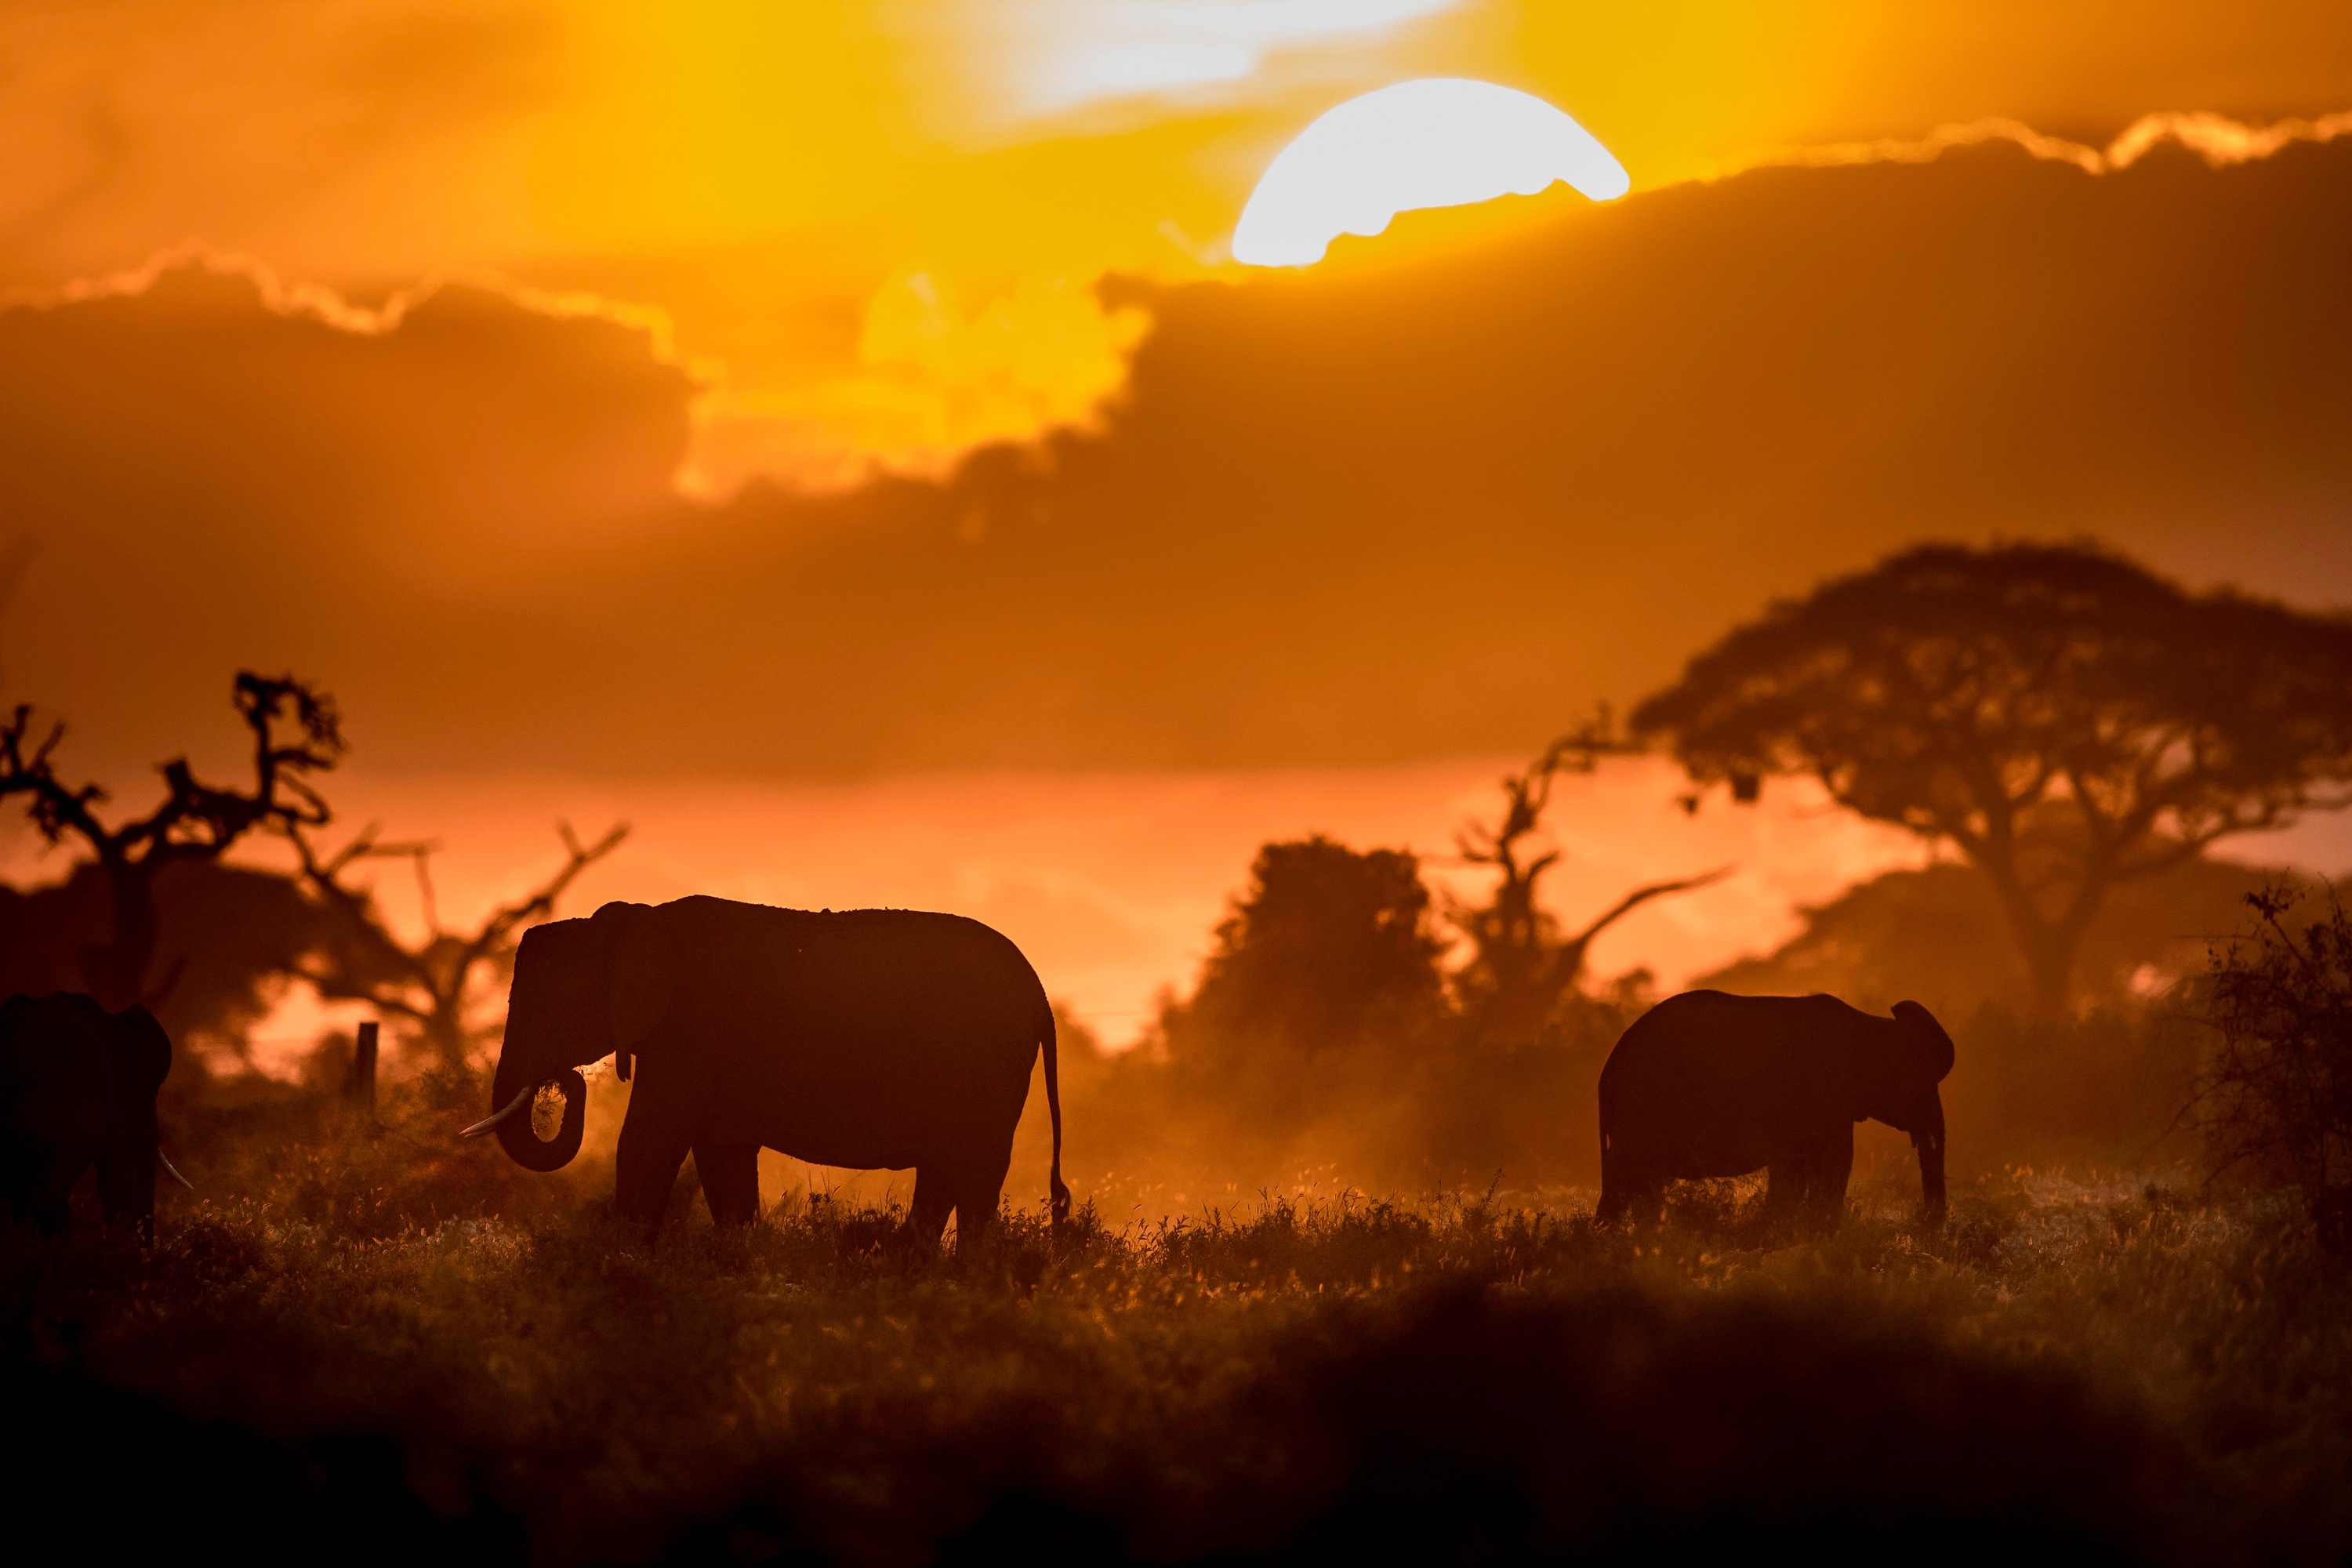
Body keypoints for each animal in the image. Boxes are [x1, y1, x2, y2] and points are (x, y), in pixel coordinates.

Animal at [468, 902, 1077, 1241]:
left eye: (545, 1007)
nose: (564, 1082)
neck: (626, 923)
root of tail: (1040, 993)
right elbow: (722, 1158)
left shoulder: (687, 1033)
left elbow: (647, 1141)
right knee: (944, 1175)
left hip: (985, 1066)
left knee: (973, 1176)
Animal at [1590, 992, 1957, 1241]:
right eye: (1926, 1086)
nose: (1925, 1228)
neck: (1873, 1025)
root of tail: (1607, 1073)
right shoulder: (1827, 1096)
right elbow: (1833, 1162)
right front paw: (1814, 1237)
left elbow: (1795, 1168)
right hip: (1642, 1111)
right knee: (1629, 1177)